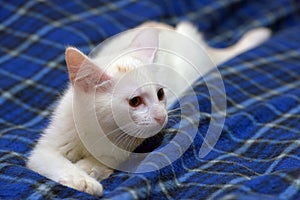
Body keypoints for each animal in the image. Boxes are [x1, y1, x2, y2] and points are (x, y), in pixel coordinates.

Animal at [25, 21, 270, 195]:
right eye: (135, 101)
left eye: (160, 94)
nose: (162, 116)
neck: (96, 129)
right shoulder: (47, 146)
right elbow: (48, 160)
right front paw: (81, 180)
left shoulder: (130, 144)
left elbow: (107, 159)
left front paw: (89, 170)